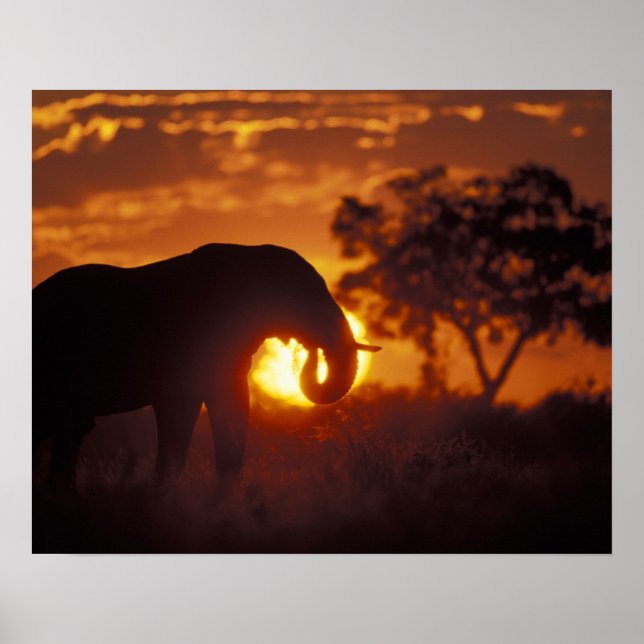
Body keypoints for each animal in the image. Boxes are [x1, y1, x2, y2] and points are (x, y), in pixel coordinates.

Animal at [33, 243, 380, 488]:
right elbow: (180, 409)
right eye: (307, 295)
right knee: (69, 428)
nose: (308, 352)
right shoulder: (187, 342)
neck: (251, 254)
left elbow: (233, 404)